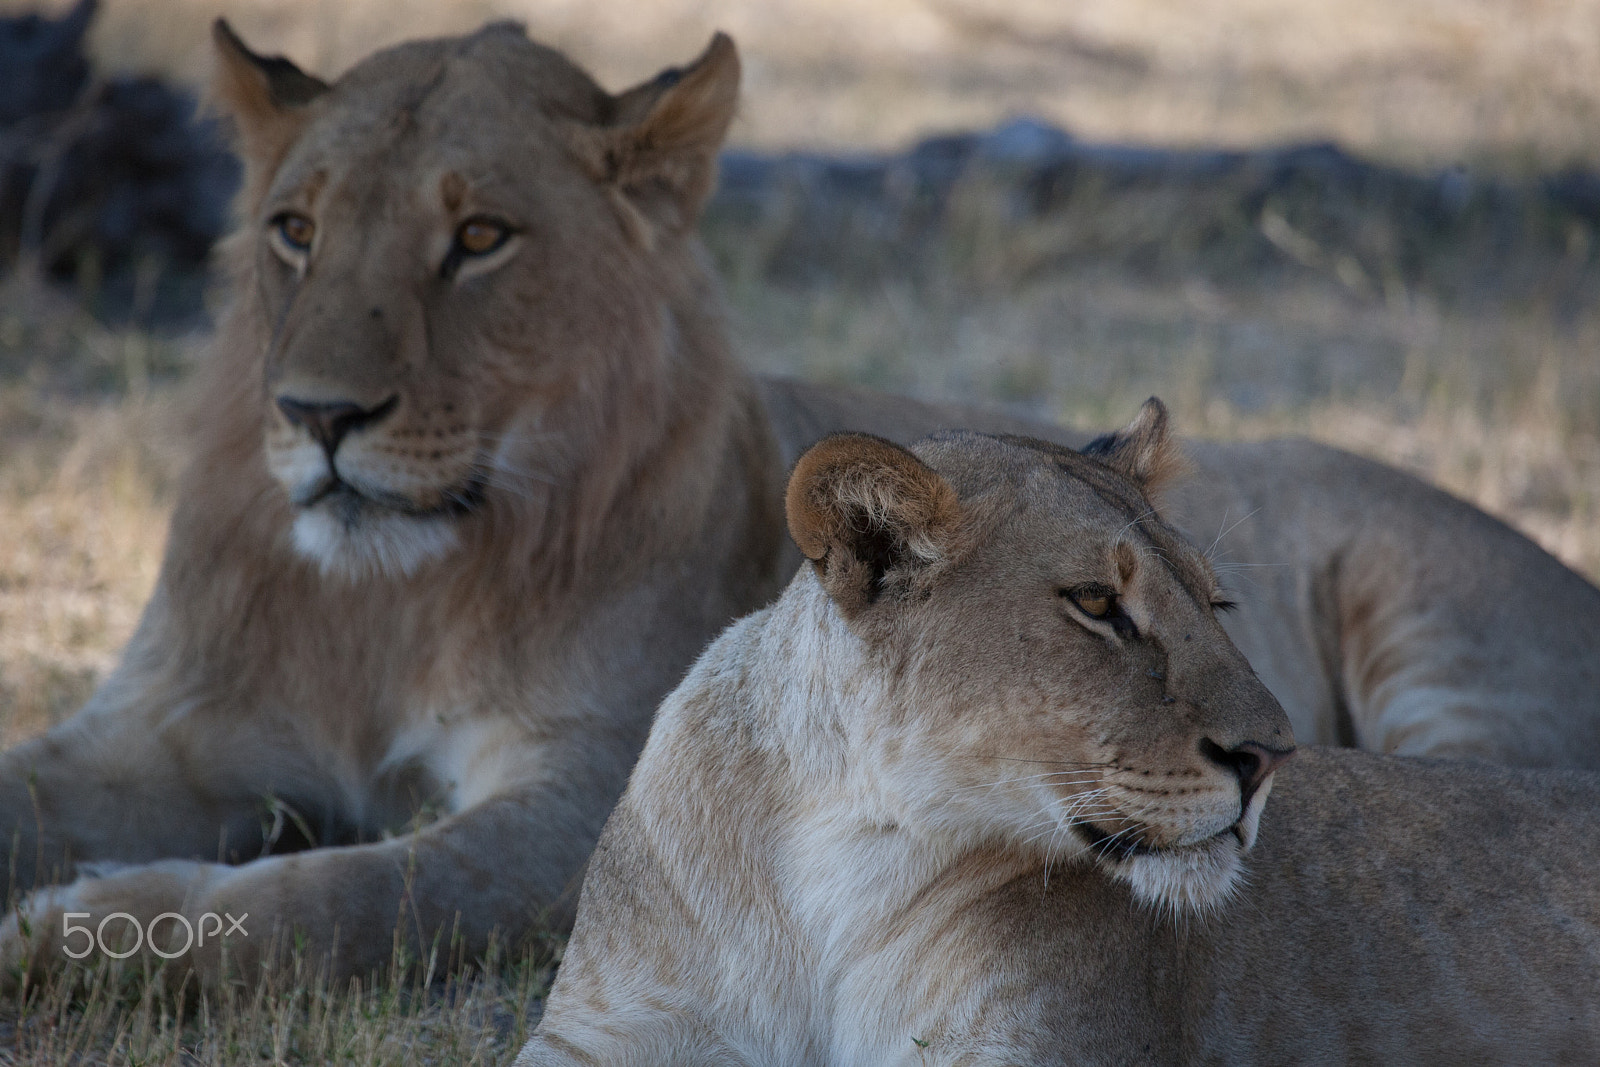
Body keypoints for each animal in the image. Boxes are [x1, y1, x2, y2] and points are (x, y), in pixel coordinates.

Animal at [1, 20, 1599, 985]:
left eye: (481, 238)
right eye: (294, 231)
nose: (318, 417)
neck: (388, 596)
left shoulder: (583, 795)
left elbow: (357, 894)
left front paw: (75, 931)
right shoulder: (167, 725)